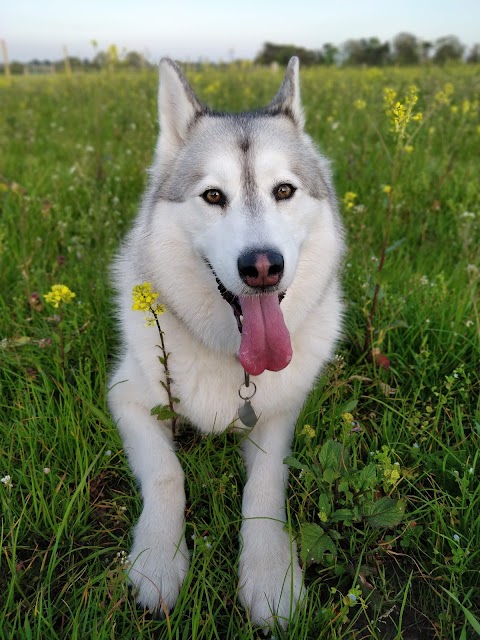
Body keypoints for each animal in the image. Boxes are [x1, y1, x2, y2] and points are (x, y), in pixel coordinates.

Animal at [109, 56, 344, 632]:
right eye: (214, 196)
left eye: (283, 191)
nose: (262, 266)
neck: (233, 359)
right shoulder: (127, 398)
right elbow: (167, 474)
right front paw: (158, 559)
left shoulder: (281, 415)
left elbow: (265, 486)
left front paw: (270, 572)